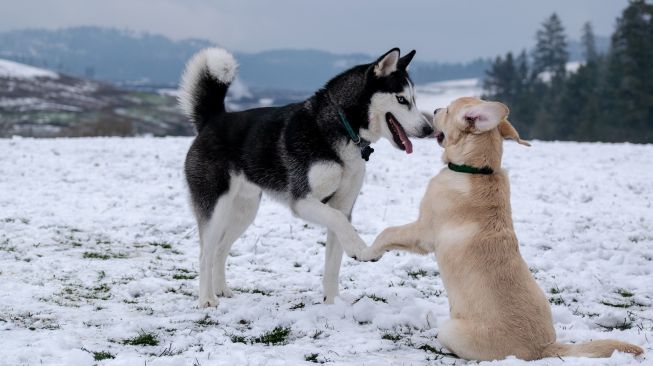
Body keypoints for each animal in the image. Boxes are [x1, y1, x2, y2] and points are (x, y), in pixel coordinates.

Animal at [178, 47, 432, 308]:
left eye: (414, 99)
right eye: (401, 100)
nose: (429, 130)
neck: (343, 126)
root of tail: (213, 119)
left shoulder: (343, 206)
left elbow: (333, 263)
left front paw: (333, 303)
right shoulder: (302, 201)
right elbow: (339, 223)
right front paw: (361, 249)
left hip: (244, 212)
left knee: (220, 249)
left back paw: (222, 290)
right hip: (215, 209)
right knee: (205, 254)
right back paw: (207, 299)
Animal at [356, 97, 640, 360]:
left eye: (447, 110)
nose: (434, 110)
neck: (475, 169)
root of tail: (544, 349)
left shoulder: (423, 231)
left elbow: (388, 232)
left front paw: (367, 253)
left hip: (450, 329)